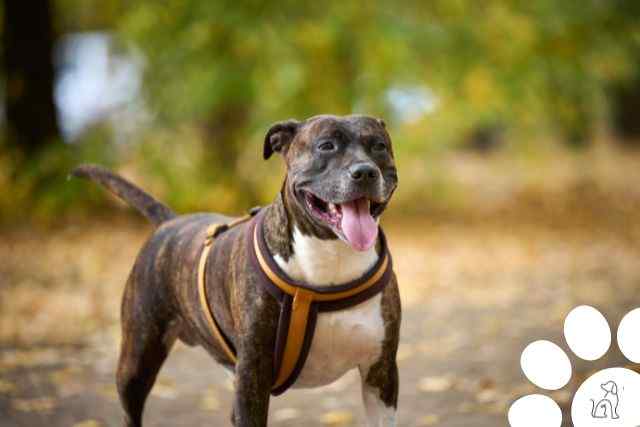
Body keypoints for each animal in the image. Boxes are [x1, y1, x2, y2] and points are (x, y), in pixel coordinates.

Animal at [72, 114, 398, 427]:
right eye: (326, 145)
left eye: (379, 146)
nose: (365, 172)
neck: (331, 255)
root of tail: (169, 222)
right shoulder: (252, 376)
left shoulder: (380, 374)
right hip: (136, 361)